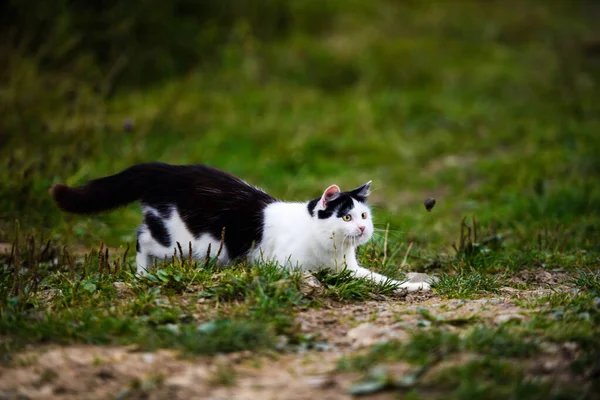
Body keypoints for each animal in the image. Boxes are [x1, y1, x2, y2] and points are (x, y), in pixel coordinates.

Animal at [49, 162, 428, 290]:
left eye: (364, 216)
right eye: (346, 217)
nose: (363, 230)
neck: (331, 249)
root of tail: (166, 169)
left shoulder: (350, 268)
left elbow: (380, 279)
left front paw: (415, 285)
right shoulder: (287, 265)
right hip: (182, 240)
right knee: (143, 239)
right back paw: (143, 274)